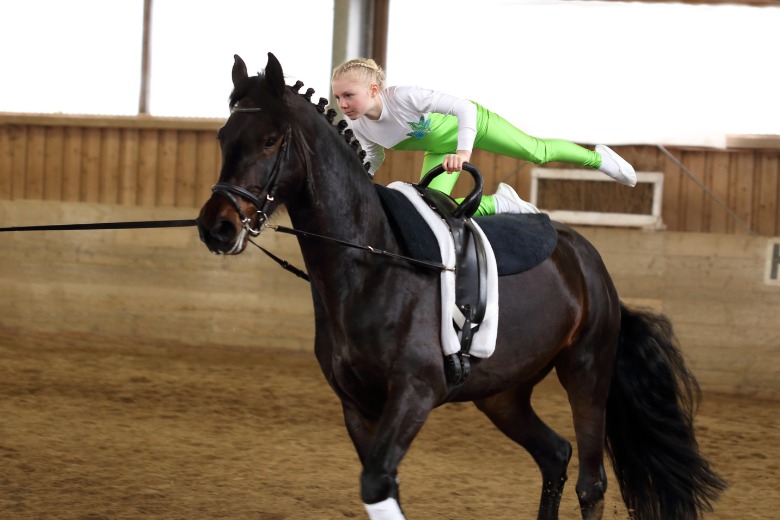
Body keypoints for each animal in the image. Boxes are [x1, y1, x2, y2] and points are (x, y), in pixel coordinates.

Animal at [197, 52, 724, 520]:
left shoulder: (415, 392)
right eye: (223, 136)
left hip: (587, 371)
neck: (370, 264)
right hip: (502, 393)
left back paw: (614, 166)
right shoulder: (357, 406)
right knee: (555, 454)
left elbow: (377, 484)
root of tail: (590, 263)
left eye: (270, 140)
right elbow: (383, 488)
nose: (216, 228)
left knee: (590, 484)